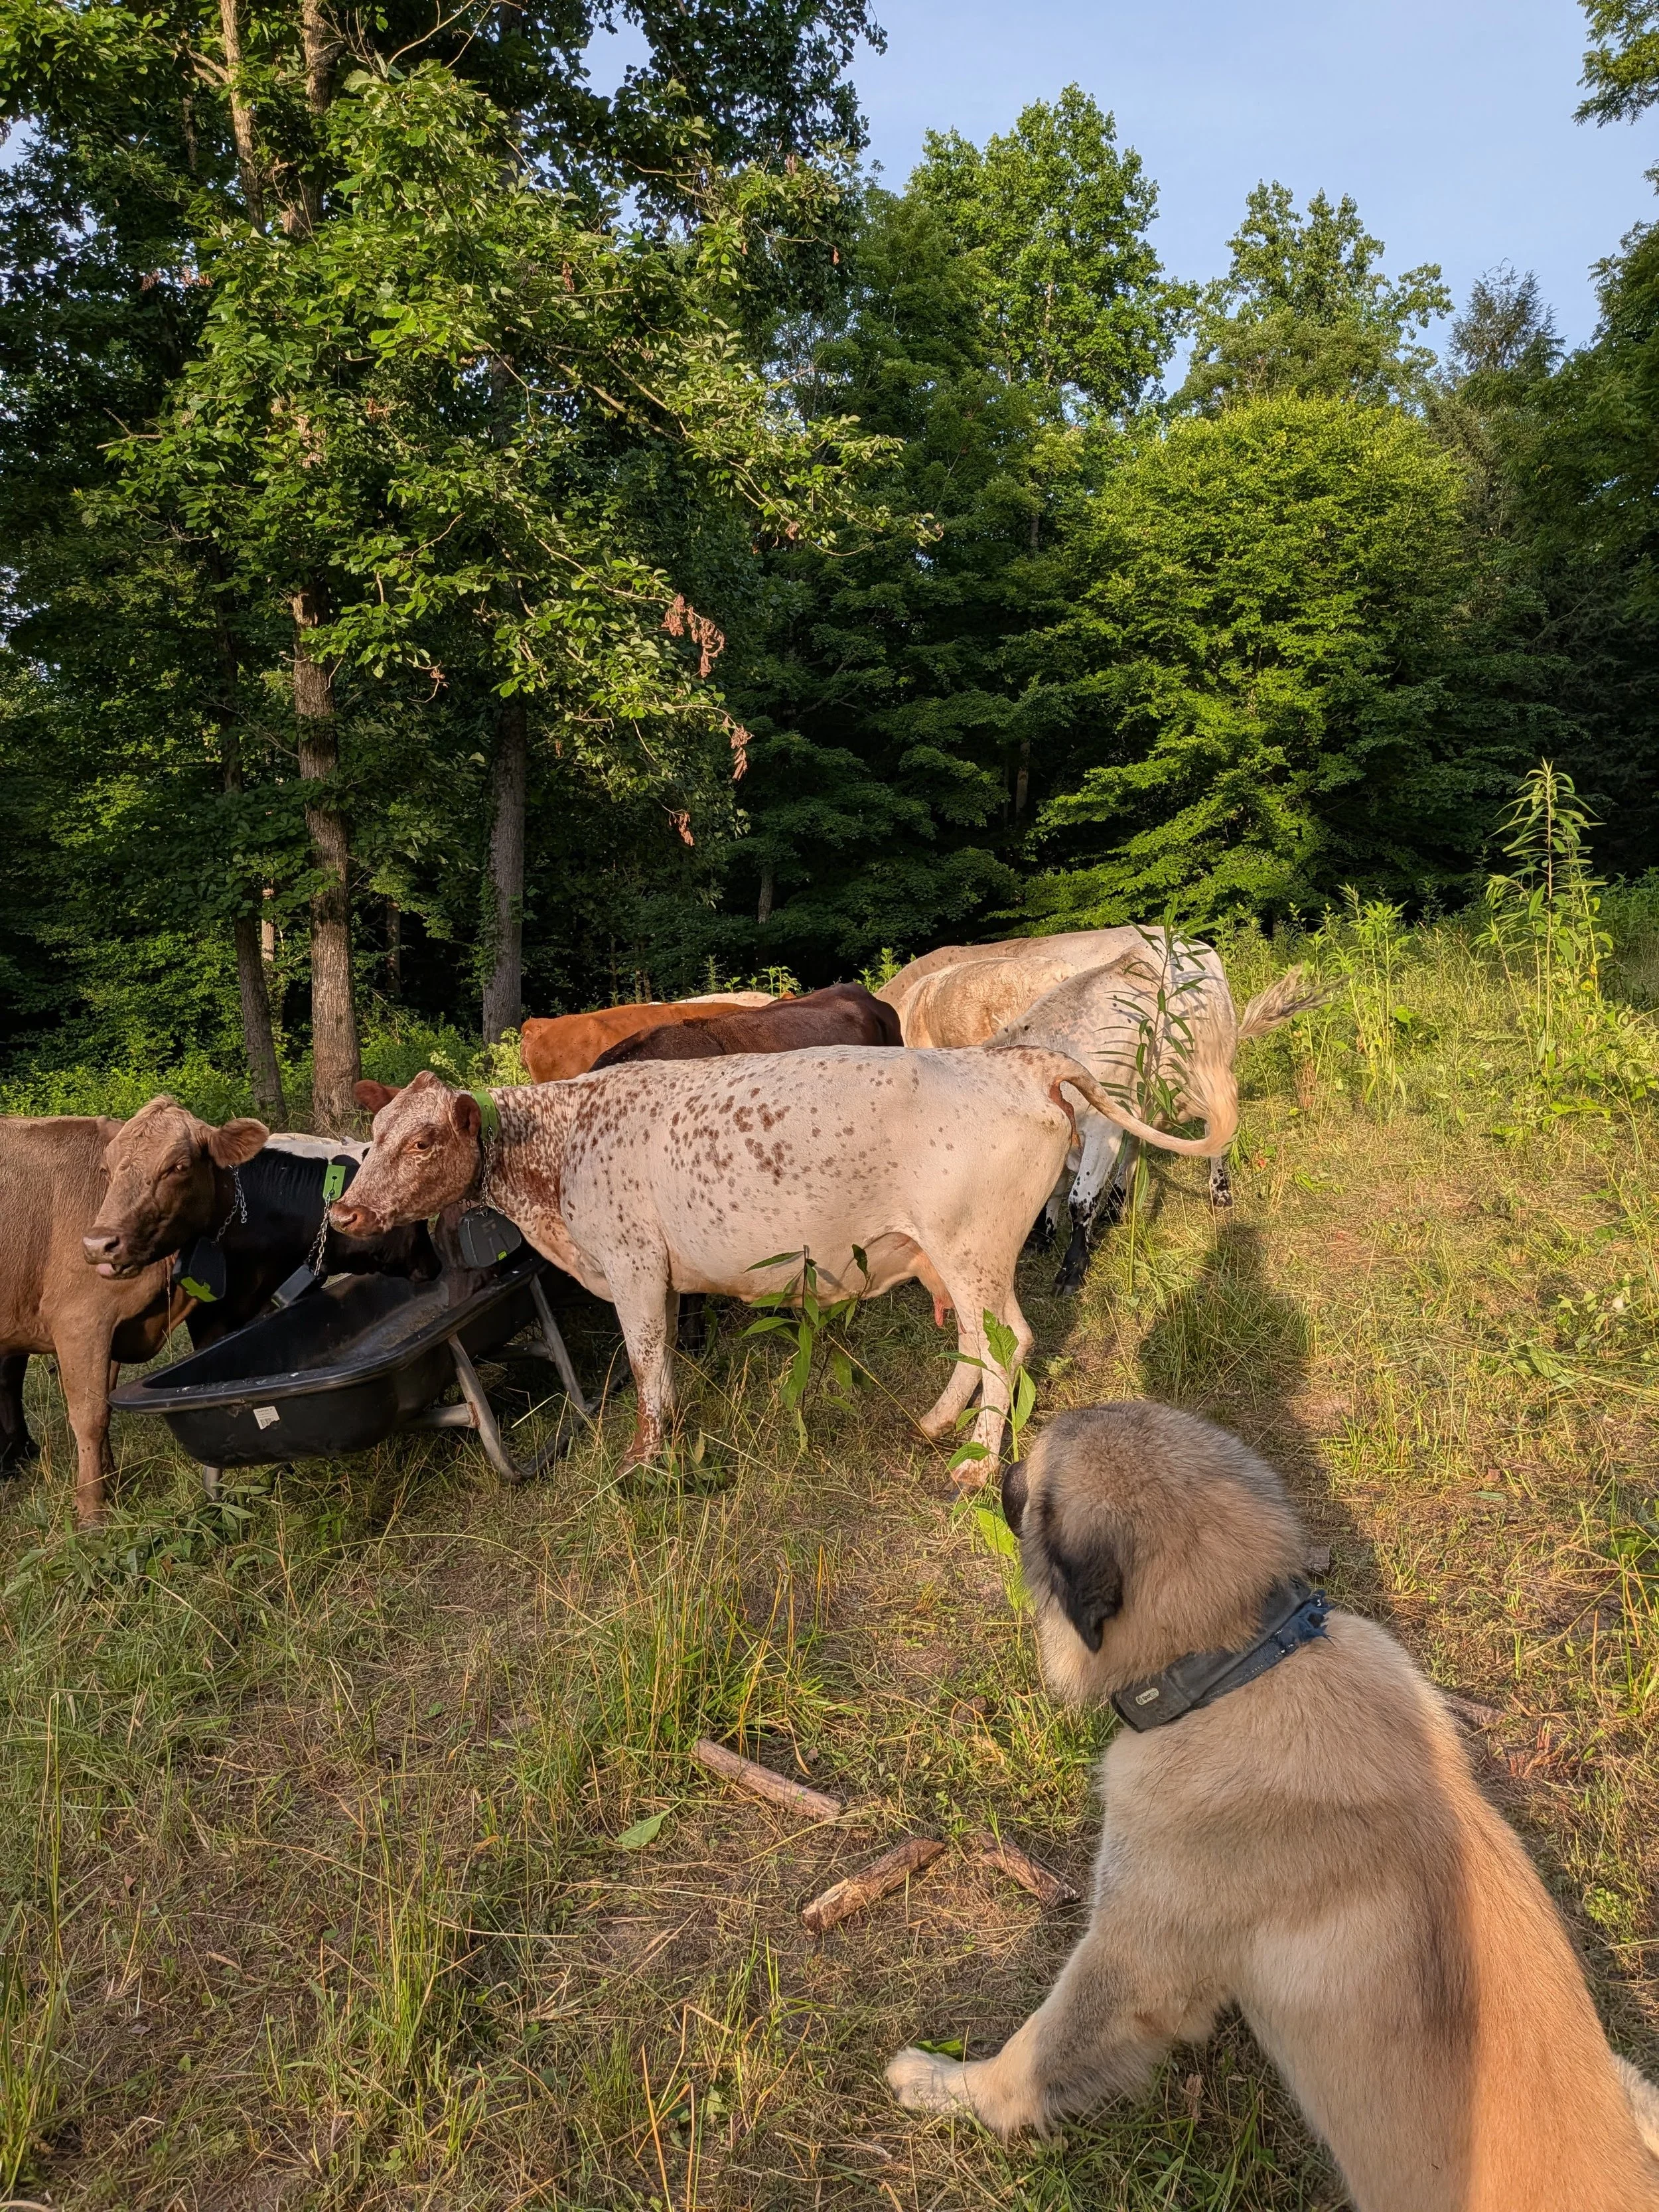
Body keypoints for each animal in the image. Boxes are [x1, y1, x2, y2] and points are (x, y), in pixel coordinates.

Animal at [330, 1054, 1229, 1478]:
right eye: (373, 1134)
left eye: (423, 1141)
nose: (344, 1214)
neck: (556, 1154)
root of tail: (1014, 1059)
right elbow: (661, 1363)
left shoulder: (631, 1264)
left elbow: (646, 1365)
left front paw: (642, 1460)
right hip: (953, 1257)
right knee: (978, 1346)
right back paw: (935, 1424)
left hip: (973, 1249)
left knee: (1009, 1344)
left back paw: (975, 1469)